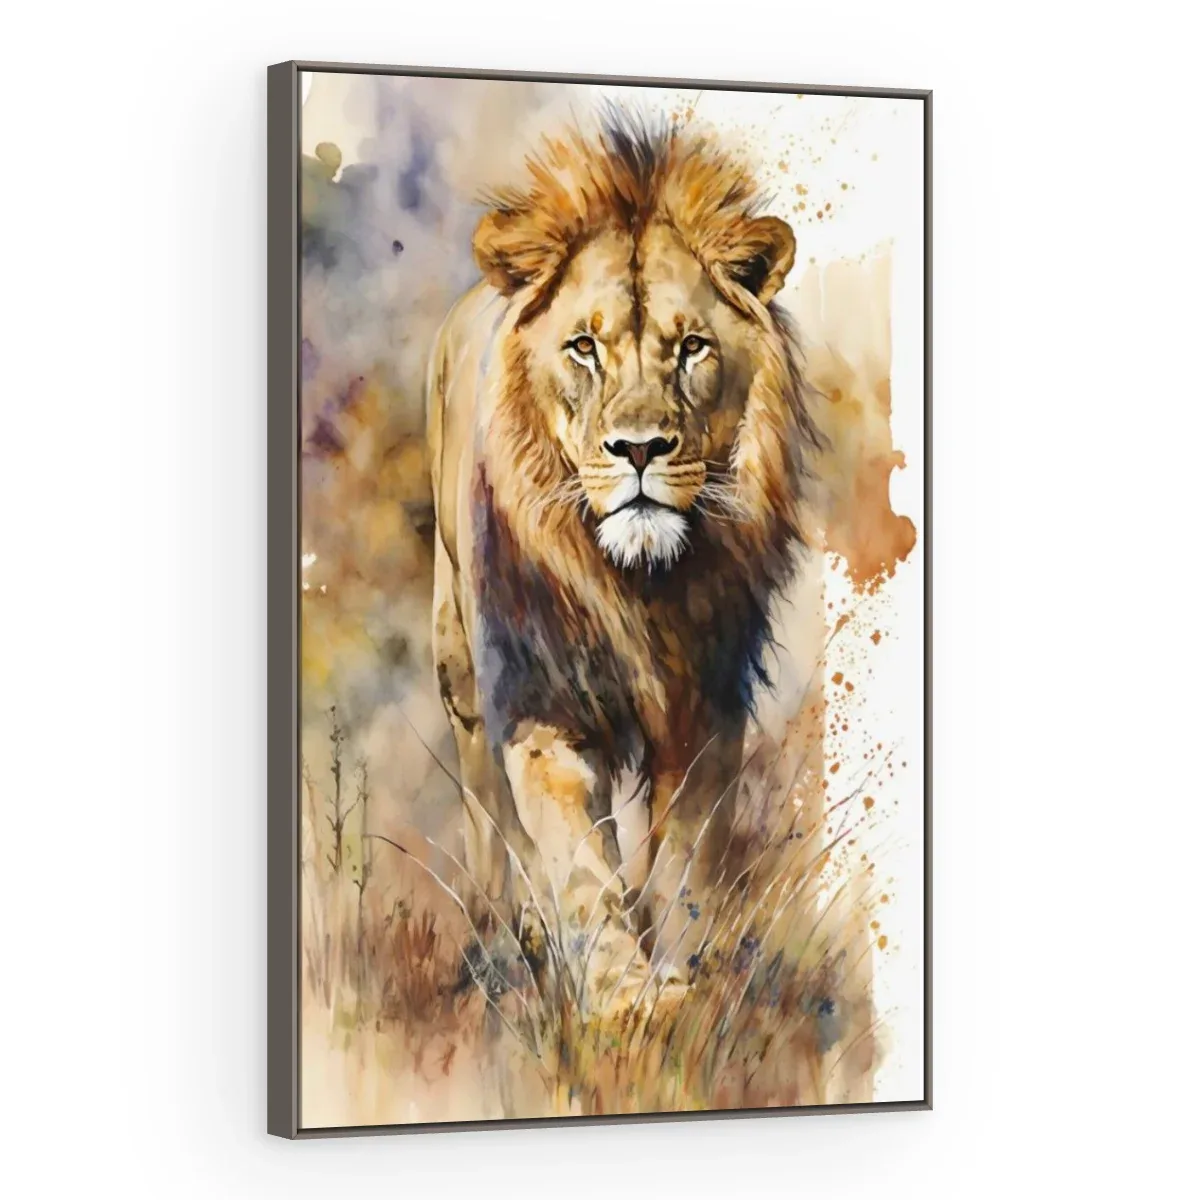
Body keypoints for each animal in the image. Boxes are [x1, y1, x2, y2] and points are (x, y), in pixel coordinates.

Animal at [426, 114, 820, 1017]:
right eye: (583, 348)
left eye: (692, 348)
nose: (639, 448)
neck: (638, 588)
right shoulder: (542, 703)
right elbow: (578, 860)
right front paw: (621, 995)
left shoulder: (708, 702)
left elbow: (685, 857)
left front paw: (687, 974)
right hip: (457, 666)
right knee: (486, 813)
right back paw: (504, 939)